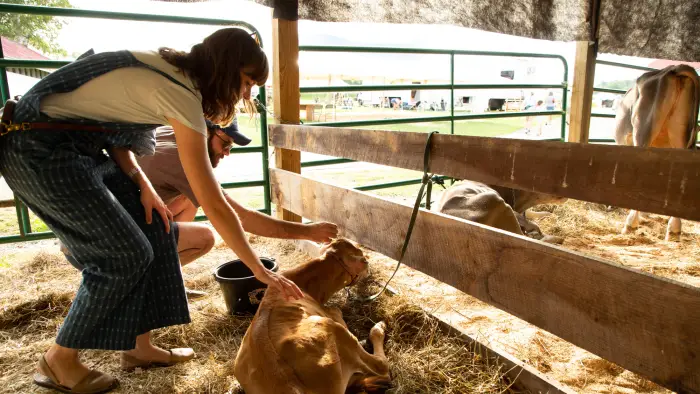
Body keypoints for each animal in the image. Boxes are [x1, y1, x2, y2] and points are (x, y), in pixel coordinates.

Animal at [234, 239, 388, 392]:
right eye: (362, 257)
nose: (369, 267)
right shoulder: (332, 315)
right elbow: (336, 310)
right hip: (330, 327)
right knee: (381, 365)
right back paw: (378, 328)